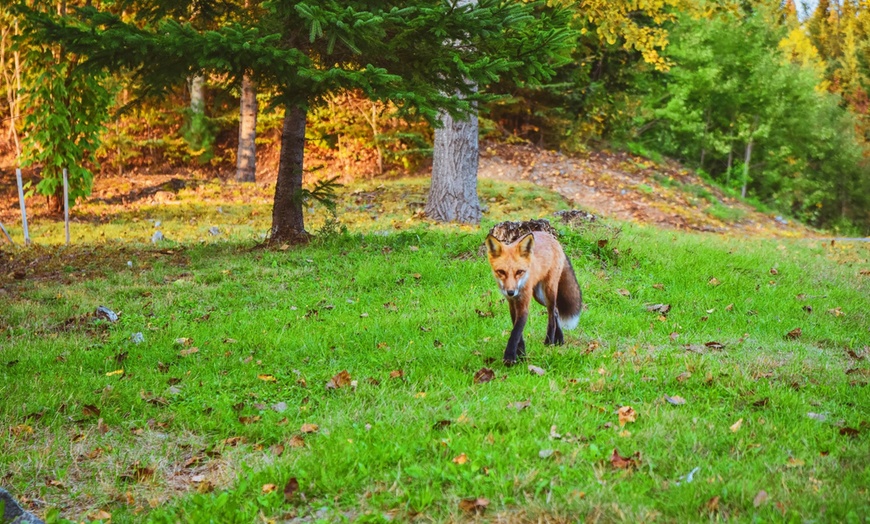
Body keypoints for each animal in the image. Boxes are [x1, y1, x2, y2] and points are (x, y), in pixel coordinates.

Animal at [488, 231, 584, 366]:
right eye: (501, 272)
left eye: (519, 272)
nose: (511, 292)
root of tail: (552, 238)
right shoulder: (512, 304)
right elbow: (518, 332)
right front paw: (521, 354)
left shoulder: (524, 303)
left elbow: (516, 331)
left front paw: (510, 357)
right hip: (539, 296)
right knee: (556, 311)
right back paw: (560, 339)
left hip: (549, 291)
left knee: (551, 316)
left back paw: (549, 342)